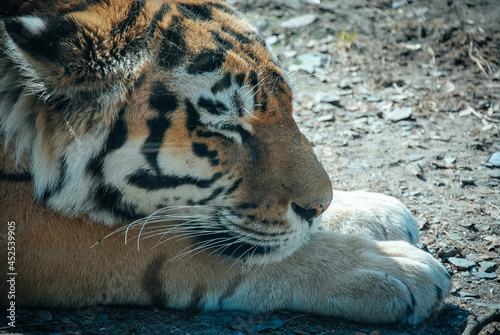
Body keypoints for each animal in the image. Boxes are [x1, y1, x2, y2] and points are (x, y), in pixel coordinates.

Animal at [0, 0, 452, 326]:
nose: (318, 206)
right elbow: (187, 246)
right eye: (226, 125)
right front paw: (395, 269)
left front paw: (374, 211)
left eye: (289, 105)